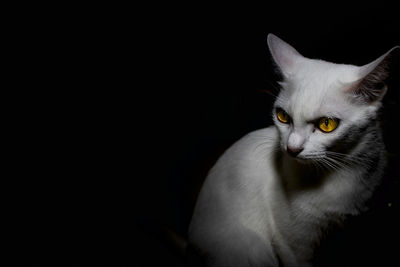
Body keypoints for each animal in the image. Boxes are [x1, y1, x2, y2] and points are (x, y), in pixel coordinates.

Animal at [188, 34, 400, 267]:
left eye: (327, 124)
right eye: (282, 116)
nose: (292, 148)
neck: (343, 173)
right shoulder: (293, 246)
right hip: (255, 250)